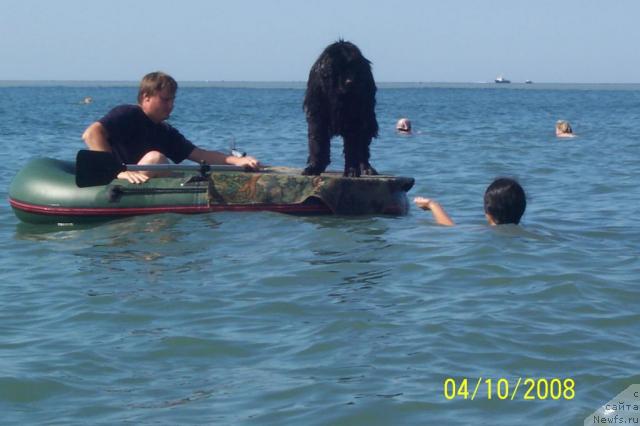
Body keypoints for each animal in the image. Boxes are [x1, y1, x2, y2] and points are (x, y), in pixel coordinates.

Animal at [302, 40, 378, 177]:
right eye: (339, 68)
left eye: (355, 68)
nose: (350, 82)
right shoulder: (317, 111)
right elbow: (317, 138)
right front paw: (314, 167)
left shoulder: (355, 116)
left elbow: (352, 145)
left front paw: (352, 170)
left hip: (368, 116)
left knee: (363, 144)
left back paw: (366, 167)